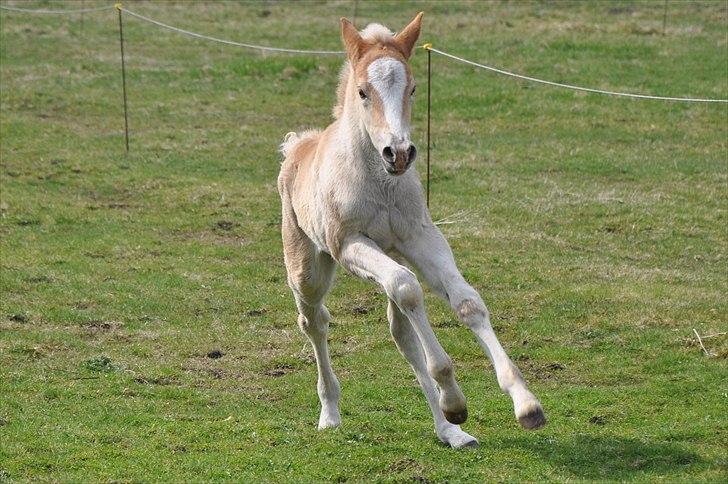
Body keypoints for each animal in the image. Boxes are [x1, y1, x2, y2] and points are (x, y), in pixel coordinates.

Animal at [278, 12, 544, 450]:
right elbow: (407, 288)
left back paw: (450, 430)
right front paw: (454, 397)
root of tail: (298, 145)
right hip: (308, 269)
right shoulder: (348, 243)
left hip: (389, 252)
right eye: (363, 92)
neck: (379, 180)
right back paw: (330, 413)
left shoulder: (419, 237)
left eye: (414, 88)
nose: (399, 153)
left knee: (402, 333)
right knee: (315, 321)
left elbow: (466, 303)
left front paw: (524, 403)